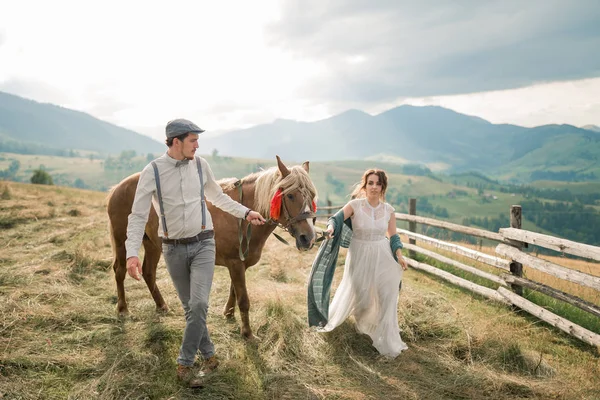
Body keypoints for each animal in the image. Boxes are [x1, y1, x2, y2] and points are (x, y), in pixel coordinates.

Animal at [106, 155, 318, 340]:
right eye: (290, 195)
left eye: (312, 196)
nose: (308, 238)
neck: (241, 219)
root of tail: (118, 187)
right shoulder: (235, 263)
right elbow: (243, 299)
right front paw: (247, 333)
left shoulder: (239, 263)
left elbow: (234, 291)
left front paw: (229, 314)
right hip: (122, 239)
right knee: (120, 270)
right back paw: (123, 309)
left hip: (152, 244)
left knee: (149, 272)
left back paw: (161, 306)